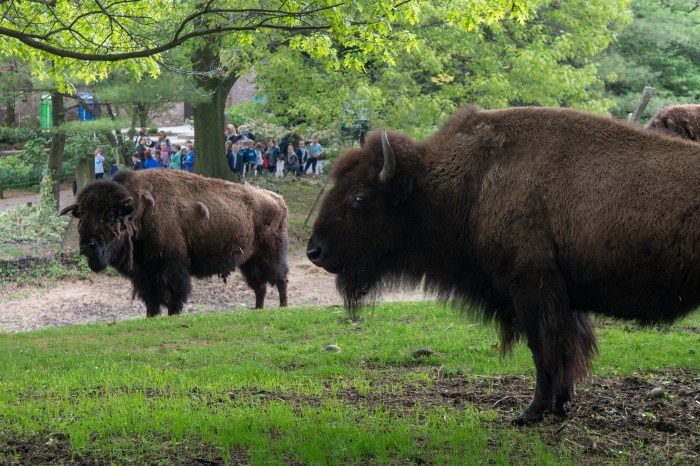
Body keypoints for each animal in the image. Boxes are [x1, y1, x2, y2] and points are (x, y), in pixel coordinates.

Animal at [60, 169, 288, 314]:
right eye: (82, 216)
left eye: (109, 215)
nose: (88, 246)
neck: (138, 212)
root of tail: (277, 199)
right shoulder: (144, 274)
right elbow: (151, 301)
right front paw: (152, 316)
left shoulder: (172, 267)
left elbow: (174, 296)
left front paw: (173, 314)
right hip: (249, 261)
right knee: (260, 286)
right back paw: (258, 310)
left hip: (271, 254)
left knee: (280, 279)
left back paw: (283, 307)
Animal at [308, 106, 700, 426]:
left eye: (360, 197)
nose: (315, 251)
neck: (474, 180)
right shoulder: (561, 300)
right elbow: (566, 350)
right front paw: (561, 405)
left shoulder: (530, 290)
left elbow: (544, 350)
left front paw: (532, 412)